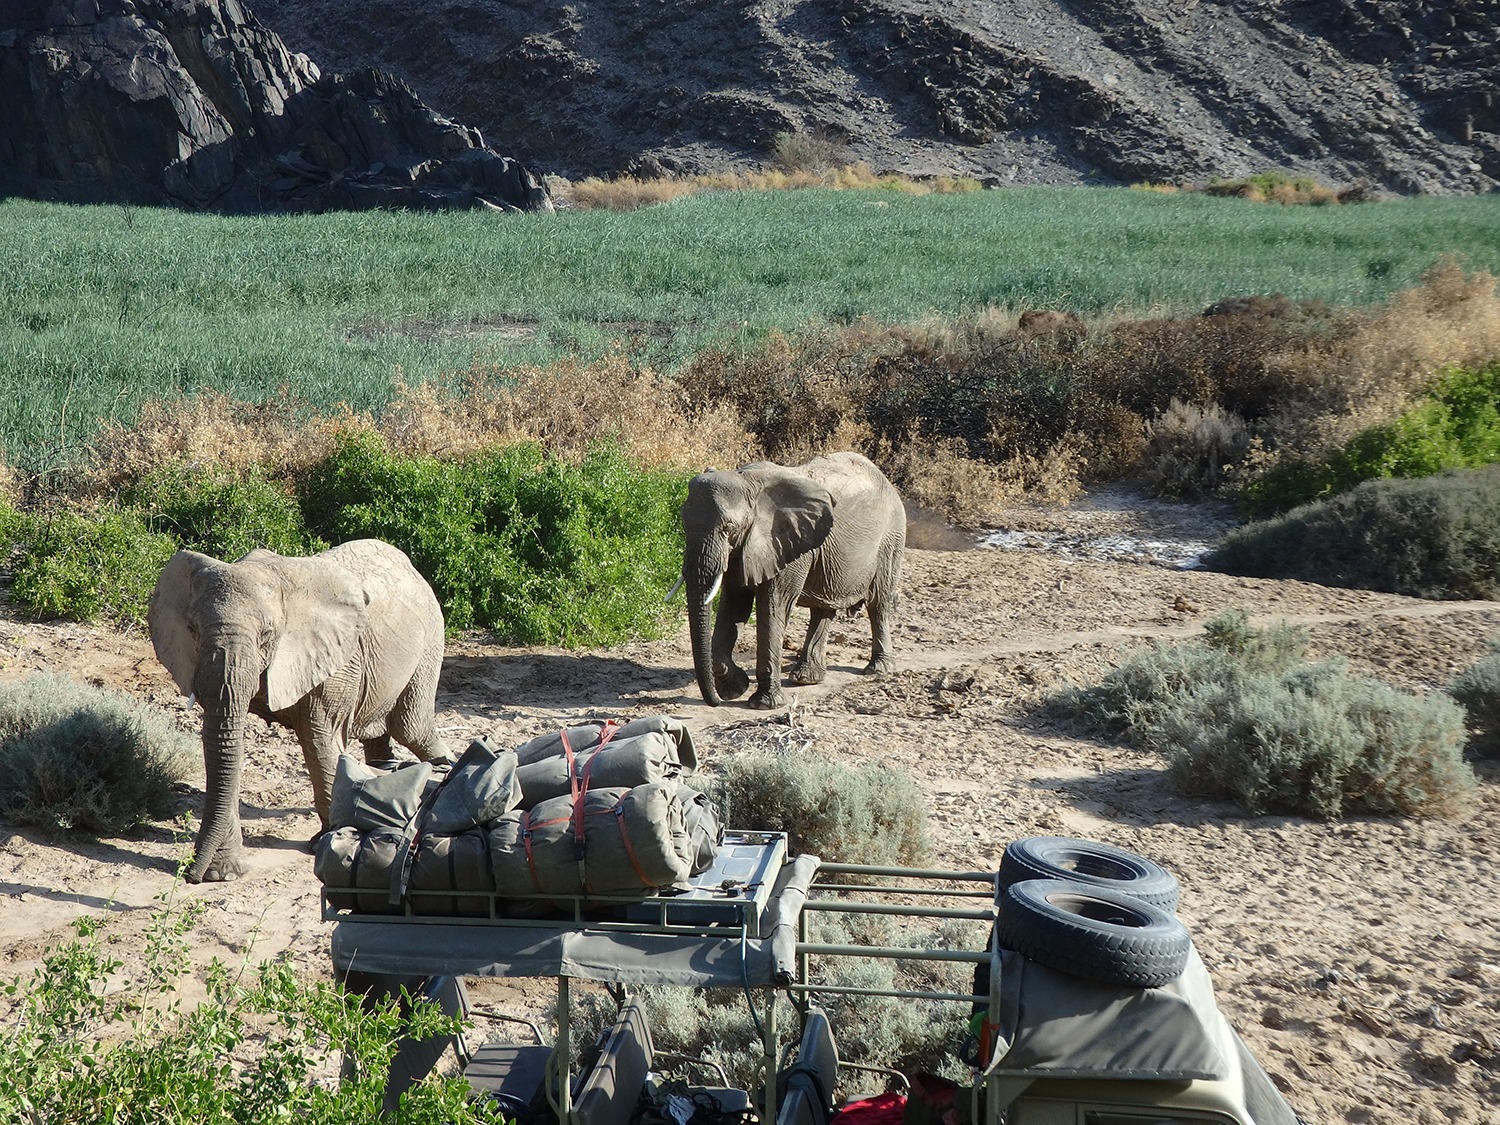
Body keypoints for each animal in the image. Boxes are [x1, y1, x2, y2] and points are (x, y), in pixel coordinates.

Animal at [148, 543, 447, 888]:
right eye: (192, 630)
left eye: (267, 634)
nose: (189, 876)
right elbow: (225, 746)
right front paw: (222, 875)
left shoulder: (336, 660)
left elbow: (320, 739)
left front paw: (328, 843)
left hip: (430, 636)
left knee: (412, 727)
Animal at [681, 453, 900, 708]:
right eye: (683, 524)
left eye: (728, 528)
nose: (714, 701)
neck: (747, 480)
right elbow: (734, 604)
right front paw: (735, 689)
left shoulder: (786, 543)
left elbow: (773, 607)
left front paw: (764, 704)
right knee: (823, 608)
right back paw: (806, 677)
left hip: (890, 539)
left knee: (878, 603)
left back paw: (878, 669)